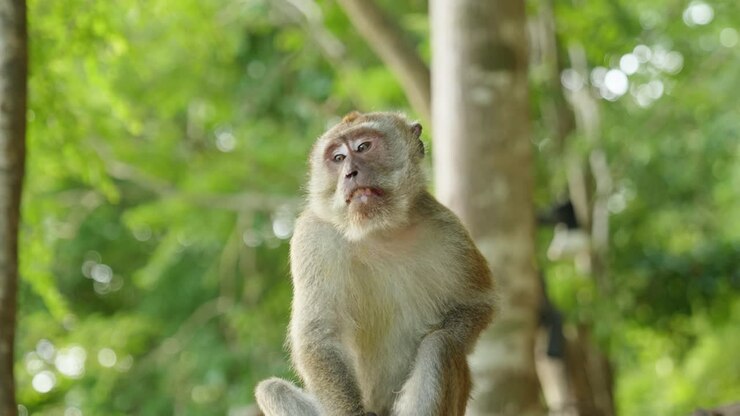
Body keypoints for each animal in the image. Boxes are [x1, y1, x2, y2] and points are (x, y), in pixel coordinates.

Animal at [255, 111, 495, 416]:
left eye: (363, 147)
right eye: (338, 158)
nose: (350, 173)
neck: (379, 230)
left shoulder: (449, 230)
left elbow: (476, 304)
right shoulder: (313, 236)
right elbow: (319, 336)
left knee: (440, 345)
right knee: (272, 389)